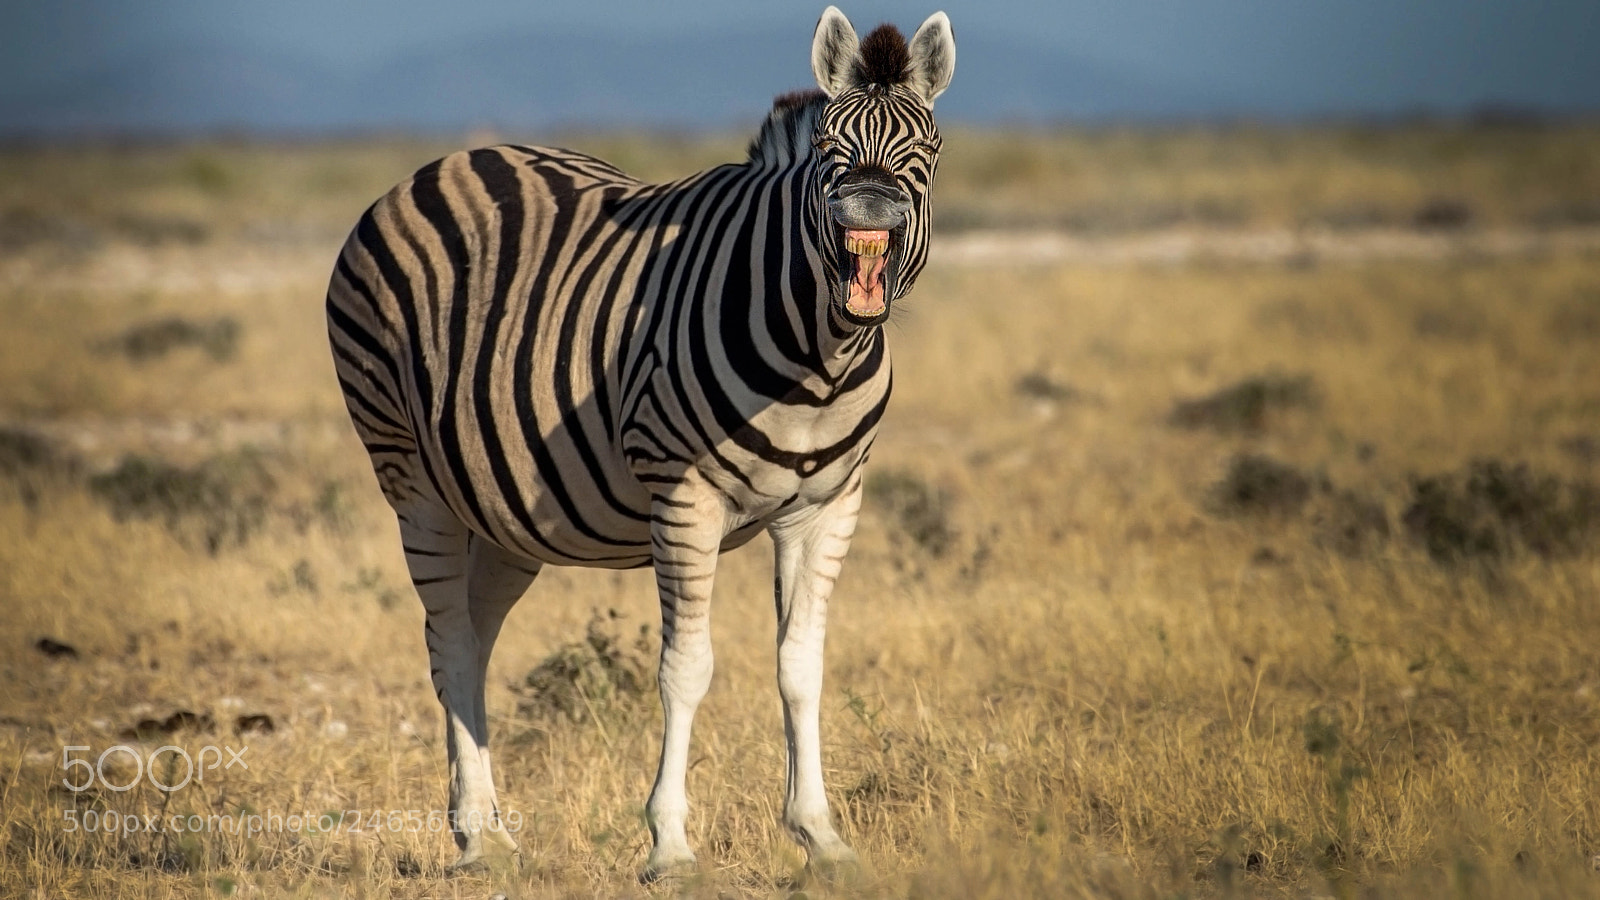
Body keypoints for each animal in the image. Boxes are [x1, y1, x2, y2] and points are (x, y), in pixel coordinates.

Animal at [325, 6, 954, 878]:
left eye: (926, 148)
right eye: (831, 149)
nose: (867, 205)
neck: (820, 359)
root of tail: (438, 166)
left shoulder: (829, 506)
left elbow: (801, 667)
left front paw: (820, 835)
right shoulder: (684, 497)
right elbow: (687, 669)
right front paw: (670, 844)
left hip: (506, 507)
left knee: (470, 642)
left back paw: (491, 831)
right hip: (411, 478)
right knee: (447, 637)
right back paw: (478, 836)